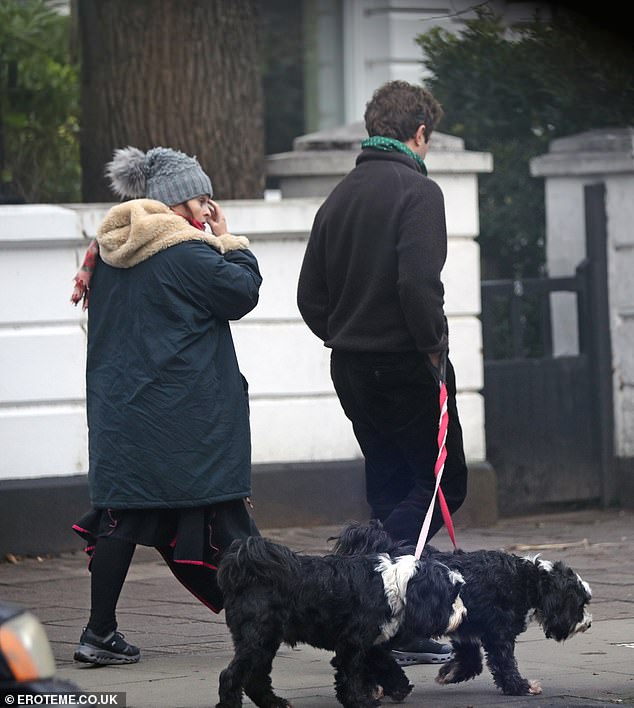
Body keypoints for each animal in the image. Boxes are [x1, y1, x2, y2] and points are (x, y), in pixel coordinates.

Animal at [216, 532, 464, 704]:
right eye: (452, 595)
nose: (464, 614)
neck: (394, 584)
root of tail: (247, 573)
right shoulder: (352, 644)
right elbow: (350, 676)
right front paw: (361, 701)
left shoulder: (371, 643)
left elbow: (386, 664)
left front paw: (398, 687)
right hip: (257, 640)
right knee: (230, 677)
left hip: (266, 642)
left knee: (255, 679)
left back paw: (275, 703)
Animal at [334, 520, 592, 696]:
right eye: (580, 603)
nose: (588, 623)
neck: (527, 580)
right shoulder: (498, 633)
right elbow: (504, 662)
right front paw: (521, 687)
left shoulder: (465, 628)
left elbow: (471, 660)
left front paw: (449, 673)